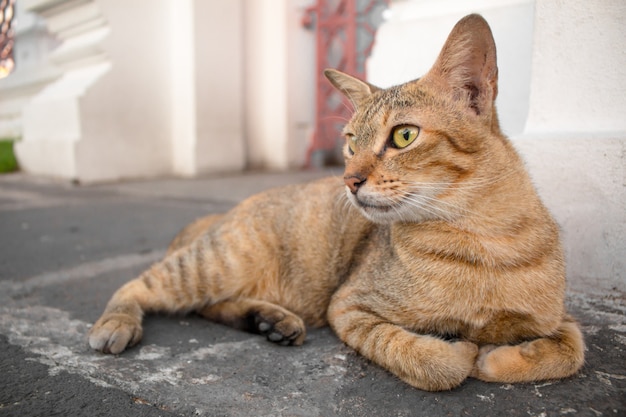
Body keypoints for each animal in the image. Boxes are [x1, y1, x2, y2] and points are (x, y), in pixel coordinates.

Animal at [90, 13, 584, 390]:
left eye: (404, 136)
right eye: (350, 142)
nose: (348, 180)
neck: (483, 237)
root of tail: (222, 214)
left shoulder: (559, 320)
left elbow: (569, 351)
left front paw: (500, 355)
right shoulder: (349, 306)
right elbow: (432, 361)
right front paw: (466, 352)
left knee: (209, 306)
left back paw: (269, 321)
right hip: (217, 264)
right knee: (137, 286)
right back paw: (116, 325)